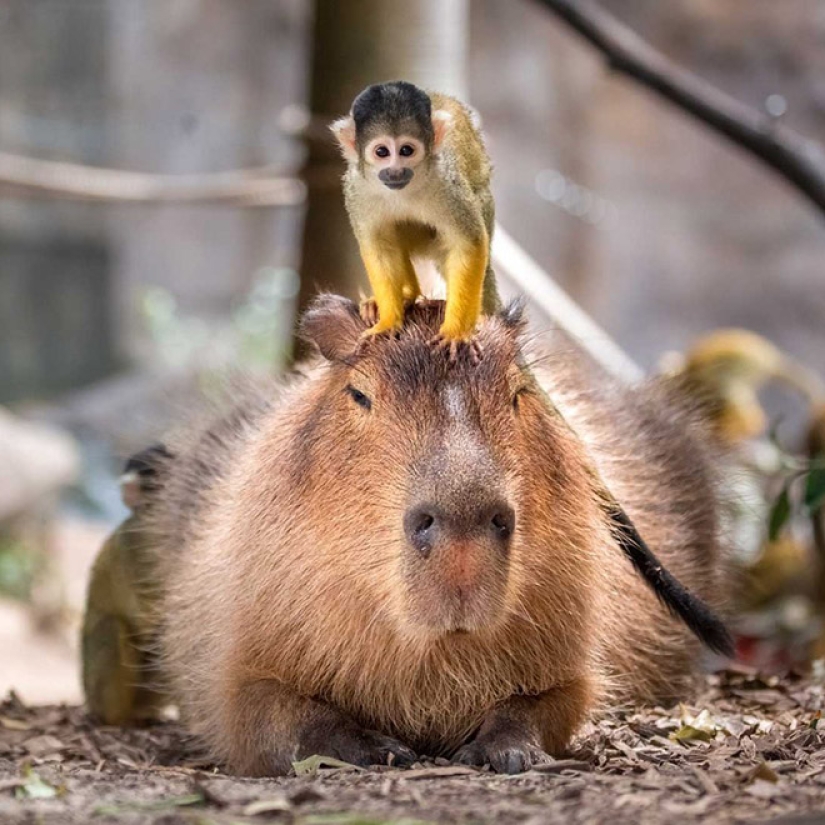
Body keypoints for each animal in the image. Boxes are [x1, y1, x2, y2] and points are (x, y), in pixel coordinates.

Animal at [148, 300, 728, 776]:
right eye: (359, 393)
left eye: (519, 393)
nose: (463, 528)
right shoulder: (237, 663)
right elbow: (278, 716)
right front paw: (379, 751)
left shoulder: (568, 661)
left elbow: (544, 703)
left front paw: (504, 752)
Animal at [332, 79, 498, 358]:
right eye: (382, 152)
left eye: (406, 150)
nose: (395, 171)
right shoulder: (356, 189)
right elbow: (379, 247)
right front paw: (388, 322)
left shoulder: (447, 184)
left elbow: (469, 244)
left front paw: (456, 333)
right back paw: (407, 294)